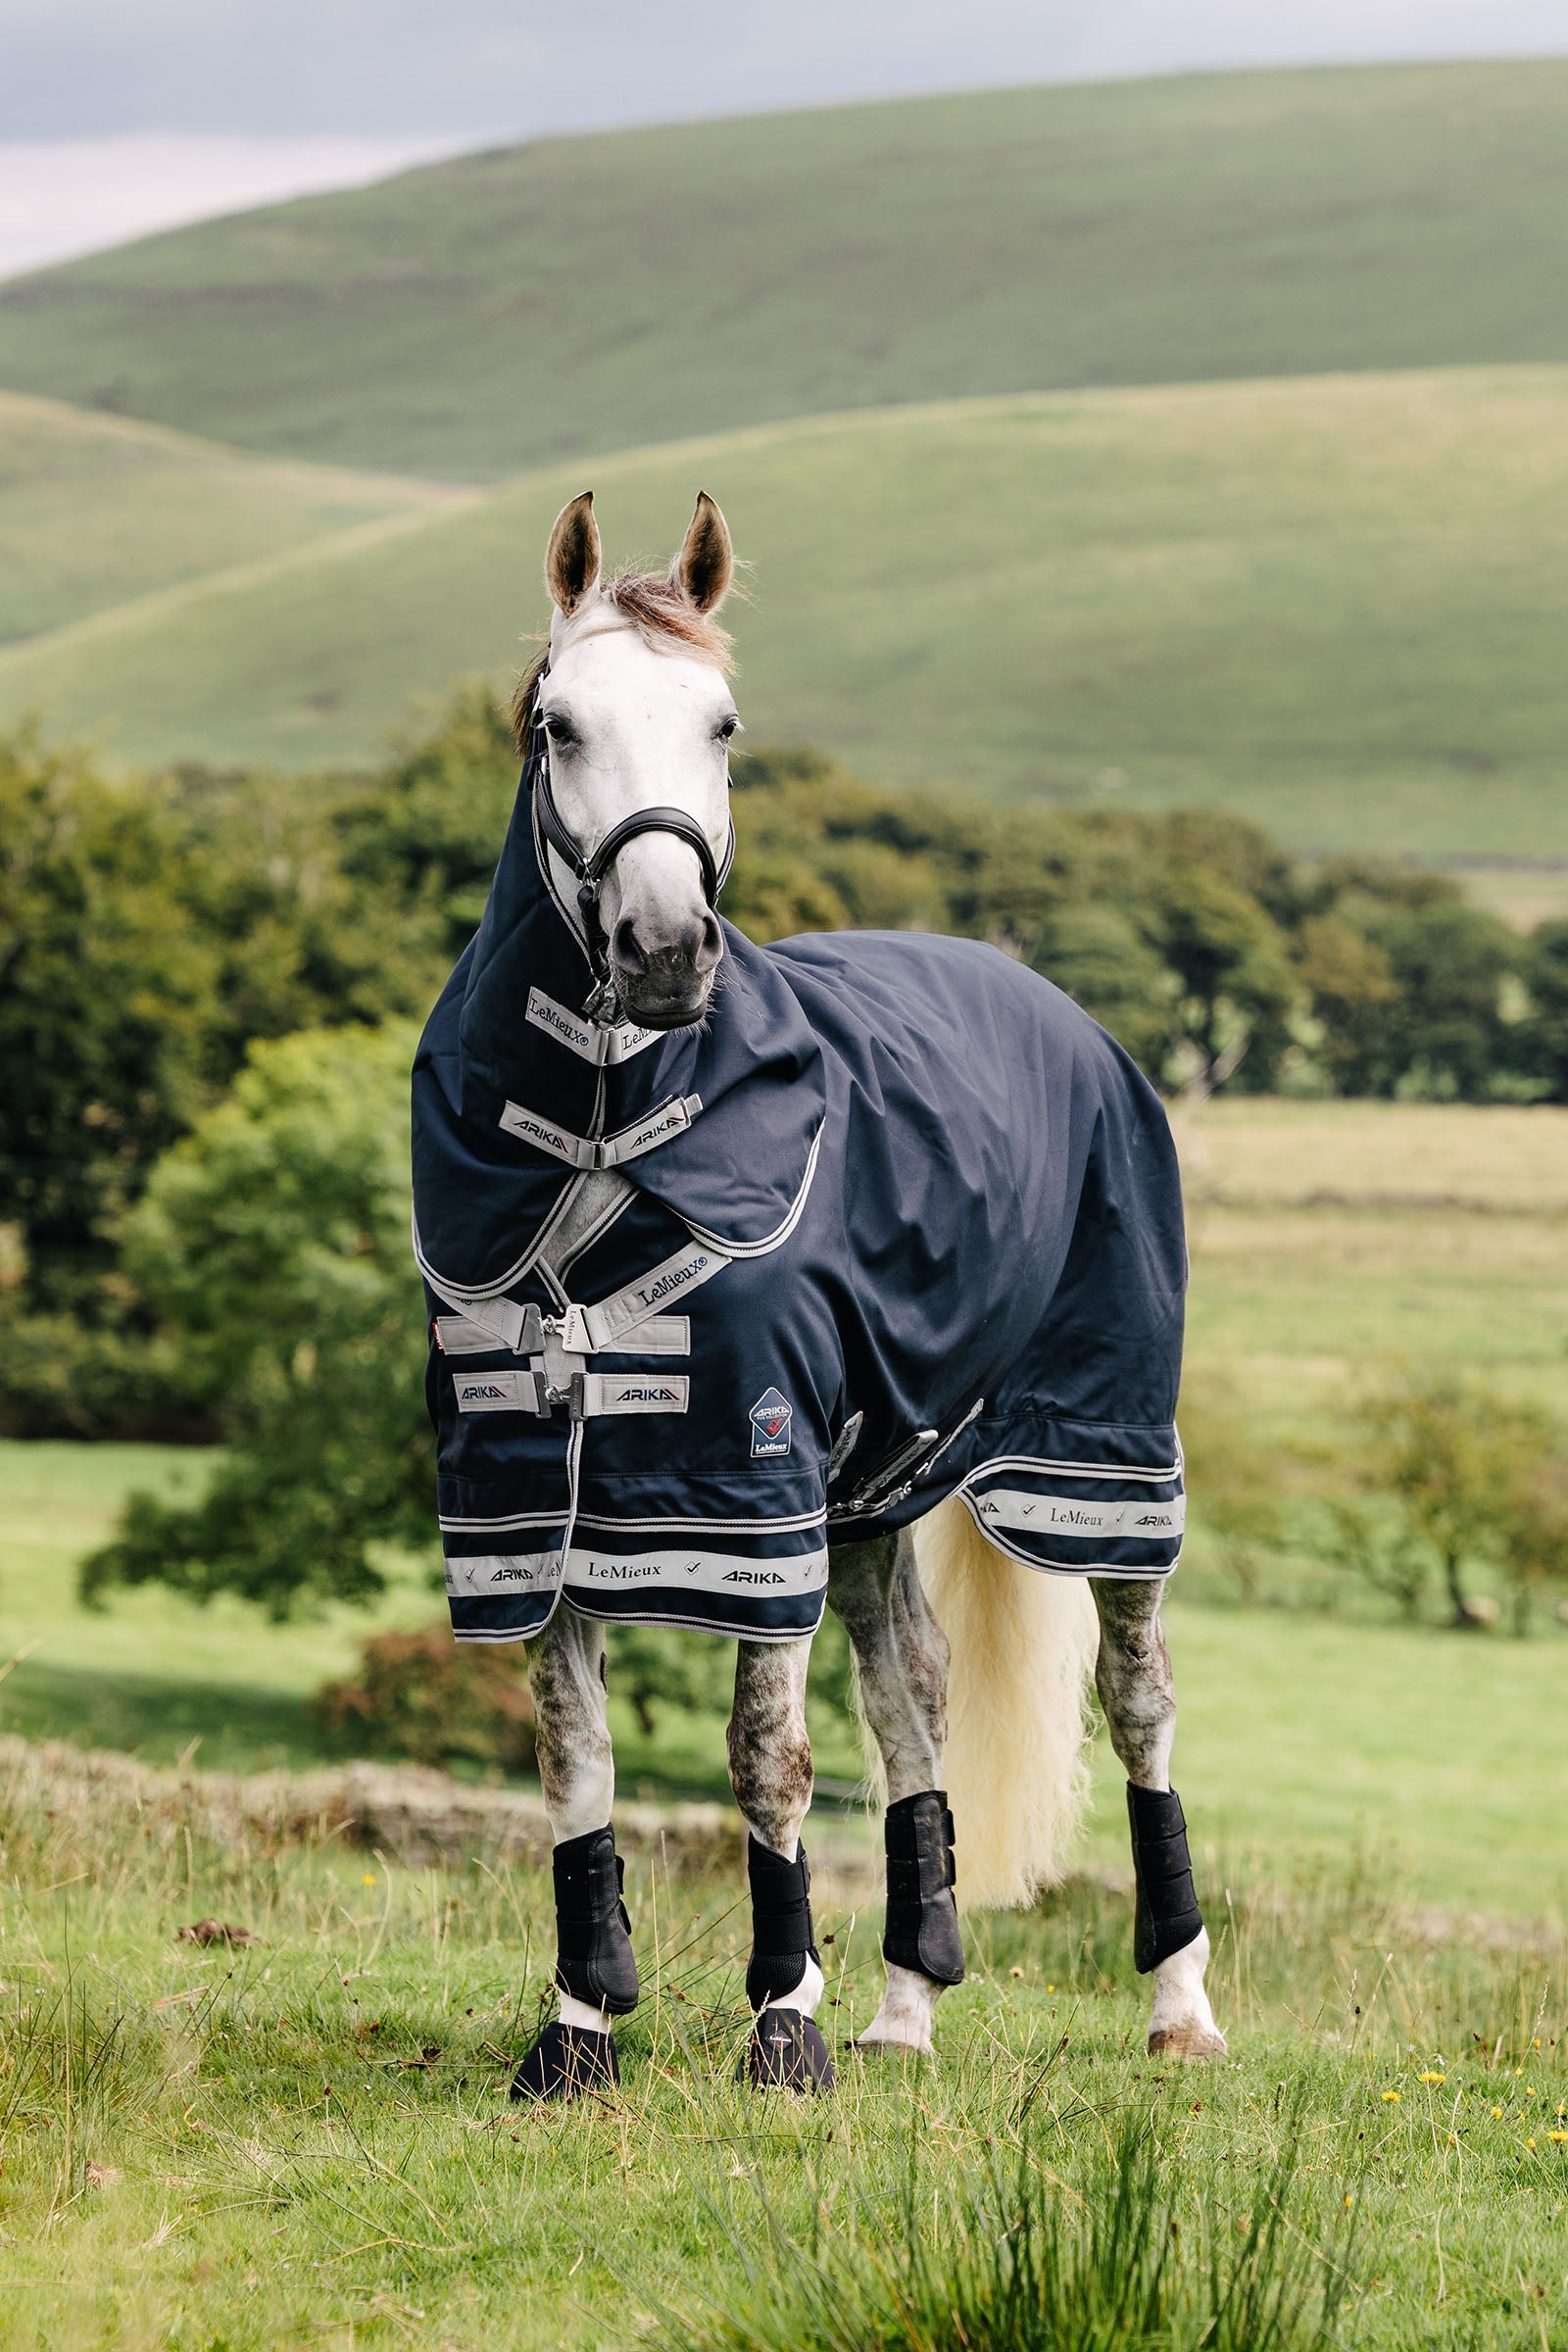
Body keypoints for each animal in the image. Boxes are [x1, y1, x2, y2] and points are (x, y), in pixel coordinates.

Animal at [410, 489, 1226, 2097]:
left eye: (723, 724)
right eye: (555, 722)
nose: (666, 952)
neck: (599, 1138)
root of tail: (1056, 1005)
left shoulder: (753, 1485)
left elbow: (765, 1757)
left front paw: (781, 2025)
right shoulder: (526, 1495)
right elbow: (574, 1759)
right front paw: (578, 2032)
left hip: (1098, 1455)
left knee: (1139, 1703)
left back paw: (1178, 2004)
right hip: (877, 1485)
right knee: (912, 1692)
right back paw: (906, 2007)